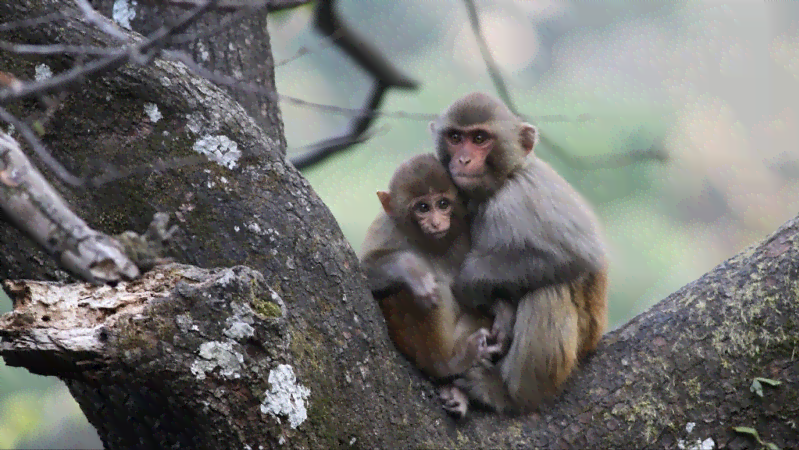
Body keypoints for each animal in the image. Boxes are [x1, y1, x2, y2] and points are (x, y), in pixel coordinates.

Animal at [360, 153, 512, 416]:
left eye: (442, 204)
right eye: (423, 207)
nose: (436, 222)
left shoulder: (464, 234)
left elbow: (473, 286)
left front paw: (502, 308)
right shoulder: (385, 228)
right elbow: (364, 270)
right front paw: (412, 270)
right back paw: (448, 364)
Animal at [432, 92, 612, 414]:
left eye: (480, 138)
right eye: (455, 137)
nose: (463, 159)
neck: (501, 181)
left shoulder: (521, 195)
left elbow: (579, 253)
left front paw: (471, 283)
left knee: (547, 291)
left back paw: (507, 394)